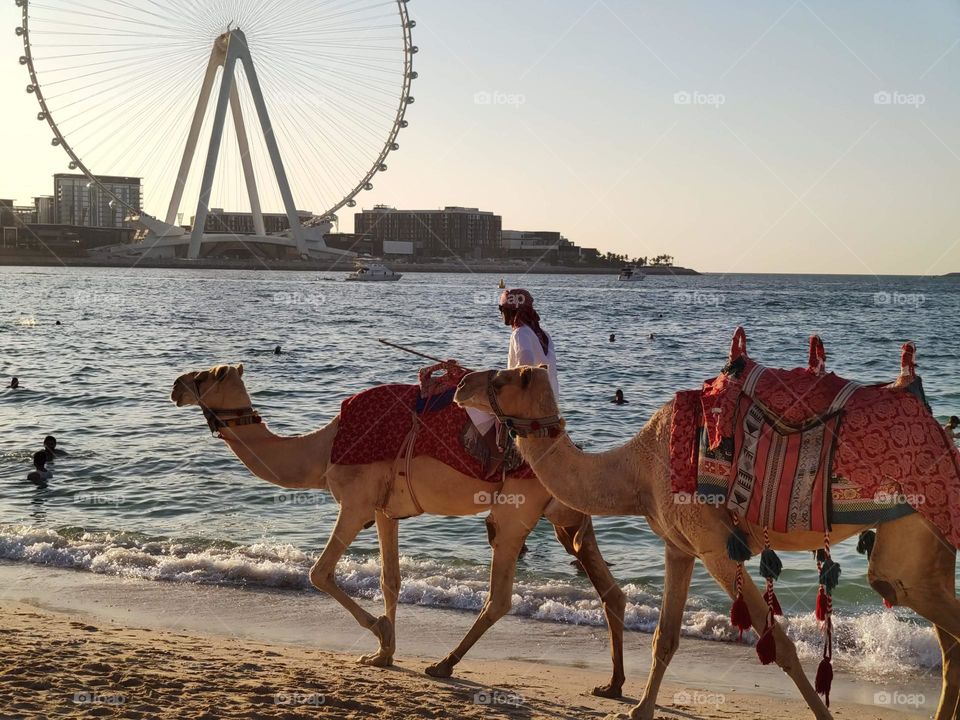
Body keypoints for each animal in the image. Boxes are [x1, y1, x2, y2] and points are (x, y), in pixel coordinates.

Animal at [170, 363, 626, 697]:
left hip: (516, 510)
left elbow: (320, 572)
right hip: (565, 517)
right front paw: (383, 654)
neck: (321, 449)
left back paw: (444, 664)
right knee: (610, 590)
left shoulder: (355, 503)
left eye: (206, 376)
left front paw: (380, 632)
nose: (175, 385)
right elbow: (390, 580)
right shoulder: (385, 511)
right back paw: (612, 684)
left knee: (500, 596)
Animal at [455, 366, 960, 720]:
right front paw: (637, 710)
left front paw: (824, 715)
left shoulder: (717, 548)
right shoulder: (679, 547)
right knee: (942, 636)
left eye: (499, 379)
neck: (636, 469)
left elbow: (781, 645)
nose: (460, 384)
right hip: (921, 548)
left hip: (914, 529)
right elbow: (665, 637)